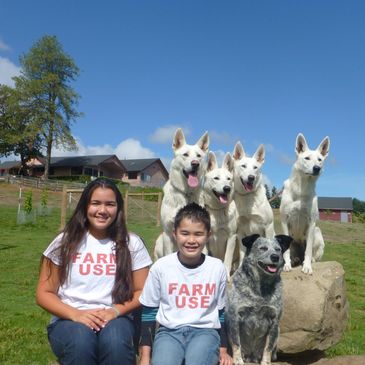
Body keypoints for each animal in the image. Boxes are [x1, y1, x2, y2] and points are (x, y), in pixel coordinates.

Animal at [154, 128, 209, 258]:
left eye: (199, 156)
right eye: (185, 155)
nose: (195, 164)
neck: (186, 192)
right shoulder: (167, 234)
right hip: (160, 241)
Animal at [226, 233, 292, 364]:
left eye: (278, 249)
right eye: (263, 248)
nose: (275, 257)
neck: (260, 290)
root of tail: (251, 356)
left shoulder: (274, 321)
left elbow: (268, 347)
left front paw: (266, 362)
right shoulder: (235, 317)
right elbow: (236, 343)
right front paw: (238, 361)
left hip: (278, 331)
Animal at [278, 133, 330, 272]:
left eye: (320, 159)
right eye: (307, 158)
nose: (317, 168)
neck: (301, 190)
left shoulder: (311, 222)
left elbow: (309, 250)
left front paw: (307, 266)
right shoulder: (284, 220)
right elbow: (286, 252)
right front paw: (286, 264)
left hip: (317, 232)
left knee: (311, 253)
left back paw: (309, 261)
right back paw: (294, 260)